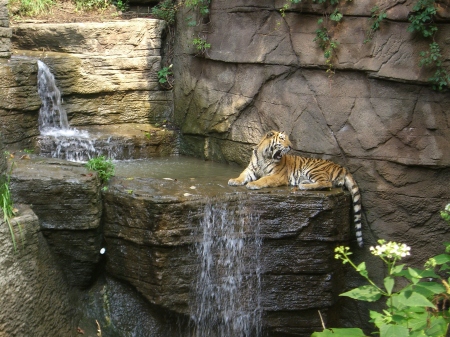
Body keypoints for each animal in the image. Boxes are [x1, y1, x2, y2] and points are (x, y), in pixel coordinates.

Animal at [227, 130, 364, 245]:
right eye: (282, 139)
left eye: (288, 139)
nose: (290, 146)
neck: (264, 156)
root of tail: (342, 167)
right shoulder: (250, 170)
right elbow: (242, 176)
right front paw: (234, 180)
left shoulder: (277, 176)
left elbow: (264, 179)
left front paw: (253, 184)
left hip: (312, 169)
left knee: (326, 183)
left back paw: (303, 185)